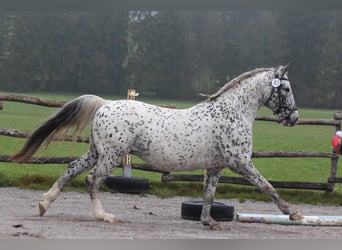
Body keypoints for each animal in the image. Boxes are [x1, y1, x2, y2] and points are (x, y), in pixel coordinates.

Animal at [12, 64, 302, 230]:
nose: (294, 118)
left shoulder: (216, 167)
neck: (232, 112)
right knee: (92, 180)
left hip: (97, 152)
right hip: (112, 156)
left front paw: (209, 222)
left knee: (72, 169)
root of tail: (105, 104)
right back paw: (105, 216)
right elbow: (268, 187)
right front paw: (294, 214)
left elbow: (208, 195)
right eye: (286, 89)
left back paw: (44, 205)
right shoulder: (241, 162)